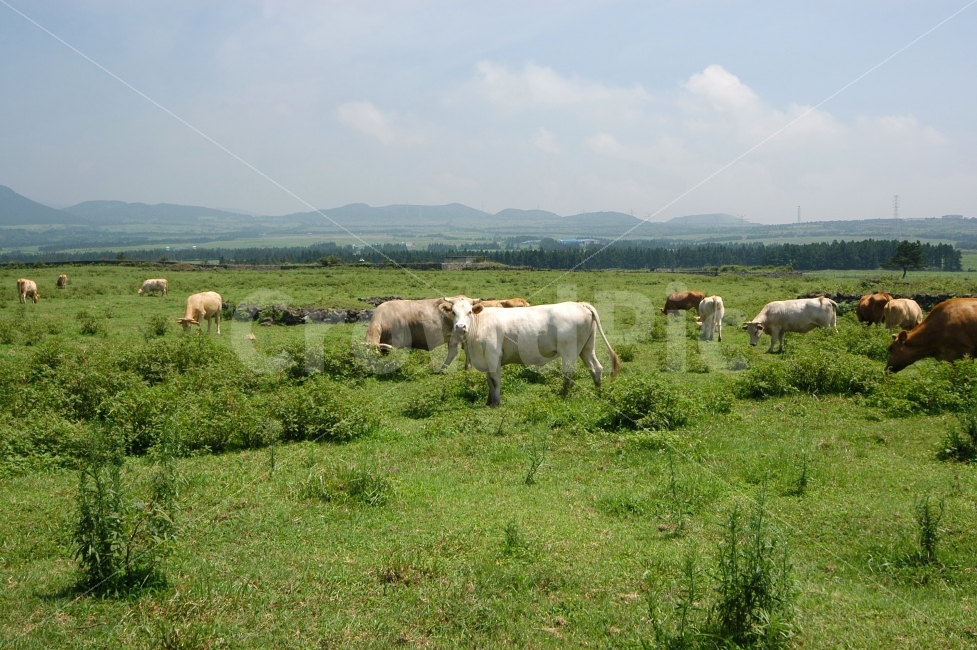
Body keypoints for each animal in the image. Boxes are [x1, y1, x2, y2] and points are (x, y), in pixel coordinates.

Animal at [440, 297, 620, 407]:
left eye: (469, 311)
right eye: (453, 312)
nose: (460, 327)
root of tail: (580, 304)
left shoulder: (493, 355)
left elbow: (495, 381)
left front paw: (496, 403)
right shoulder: (485, 358)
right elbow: (489, 381)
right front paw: (489, 401)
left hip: (569, 350)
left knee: (569, 374)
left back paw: (561, 396)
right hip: (587, 348)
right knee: (596, 368)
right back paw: (599, 394)